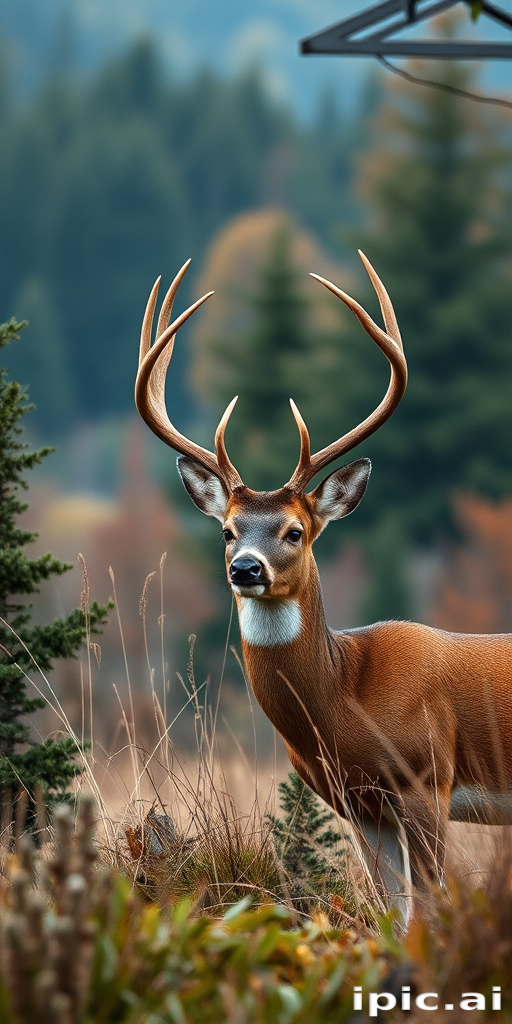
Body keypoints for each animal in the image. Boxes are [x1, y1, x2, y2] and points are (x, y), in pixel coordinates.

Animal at [135, 253, 512, 923]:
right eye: (228, 530)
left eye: (294, 531)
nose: (246, 569)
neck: (343, 699)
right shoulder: (360, 804)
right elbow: (394, 914)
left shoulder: (425, 777)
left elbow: (432, 905)